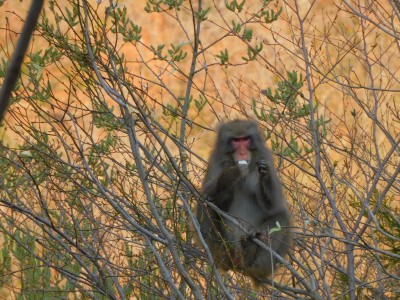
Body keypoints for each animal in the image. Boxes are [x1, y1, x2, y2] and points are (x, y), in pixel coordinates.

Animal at [196, 118, 290, 284]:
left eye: (245, 139)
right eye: (235, 141)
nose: (241, 153)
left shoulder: (265, 157)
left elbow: (274, 206)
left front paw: (265, 176)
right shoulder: (216, 160)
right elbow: (210, 193)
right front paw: (230, 174)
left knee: (281, 216)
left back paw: (257, 268)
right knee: (205, 202)